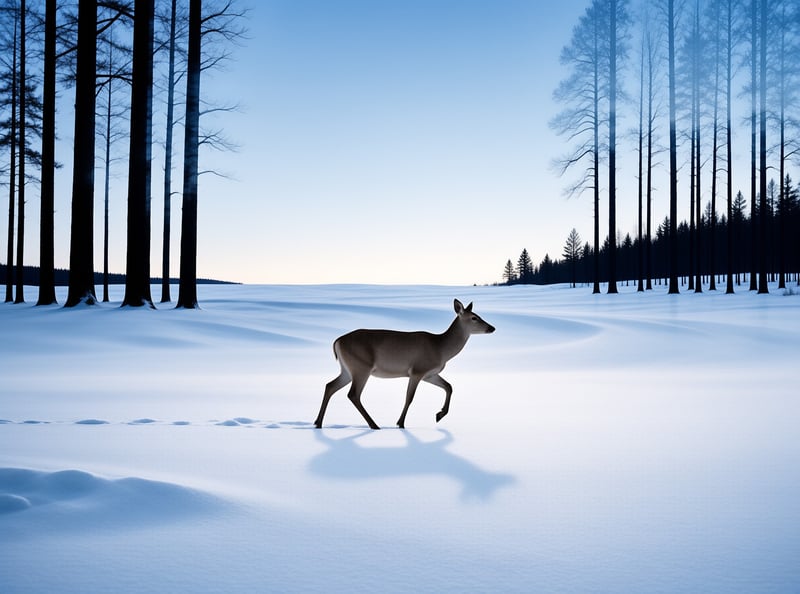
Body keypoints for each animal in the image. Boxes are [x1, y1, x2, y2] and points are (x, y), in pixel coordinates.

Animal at [314, 299, 495, 430]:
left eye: (478, 315)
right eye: (474, 318)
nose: (492, 328)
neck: (440, 349)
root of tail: (337, 341)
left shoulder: (430, 374)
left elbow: (449, 386)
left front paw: (439, 414)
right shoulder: (417, 370)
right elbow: (409, 397)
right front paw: (400, 423)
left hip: (347, 369)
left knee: (330, 385)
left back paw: (318, 422)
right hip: (361, 366)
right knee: (353, 394)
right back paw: (374, 425)